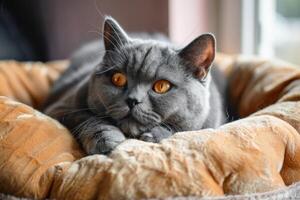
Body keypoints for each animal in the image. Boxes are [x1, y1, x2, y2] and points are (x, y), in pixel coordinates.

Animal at [42, 17, 225, 155]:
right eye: (118, 78)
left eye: (162, 86)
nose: (132, 100)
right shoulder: (59, 109)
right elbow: (88, 118)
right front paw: (106, 139)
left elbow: (180, 129)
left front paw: (153, 135)